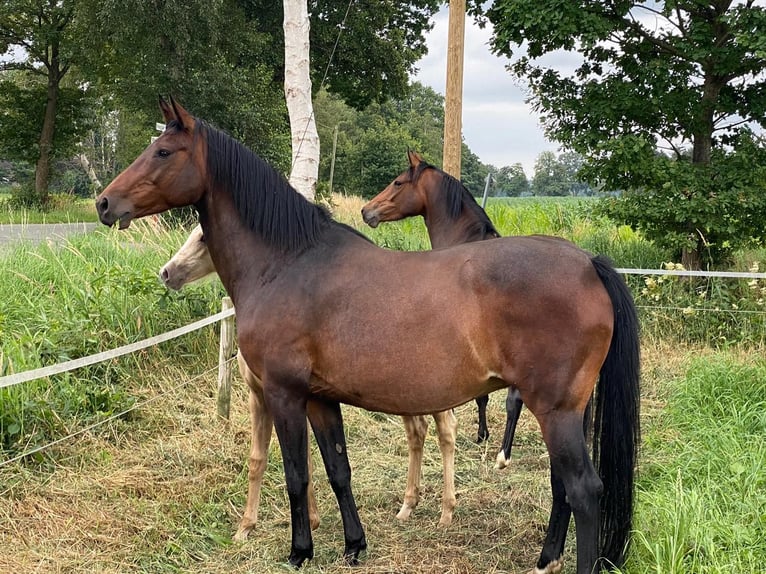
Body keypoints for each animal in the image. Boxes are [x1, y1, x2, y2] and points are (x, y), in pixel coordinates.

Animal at [160, 225, 456, 528]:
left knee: (446, 430)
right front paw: (296, 520)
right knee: (417, 432)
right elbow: (276, 459)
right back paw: (408, 505)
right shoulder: (270, 396)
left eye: (202, 237)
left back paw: (446, 511)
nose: (168, 272)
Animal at [362, 152, 528, 472]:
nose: (367, 211)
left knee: (515, 399)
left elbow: (480, 396)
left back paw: (504, 455)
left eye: (398, 182)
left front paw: (480, 434)